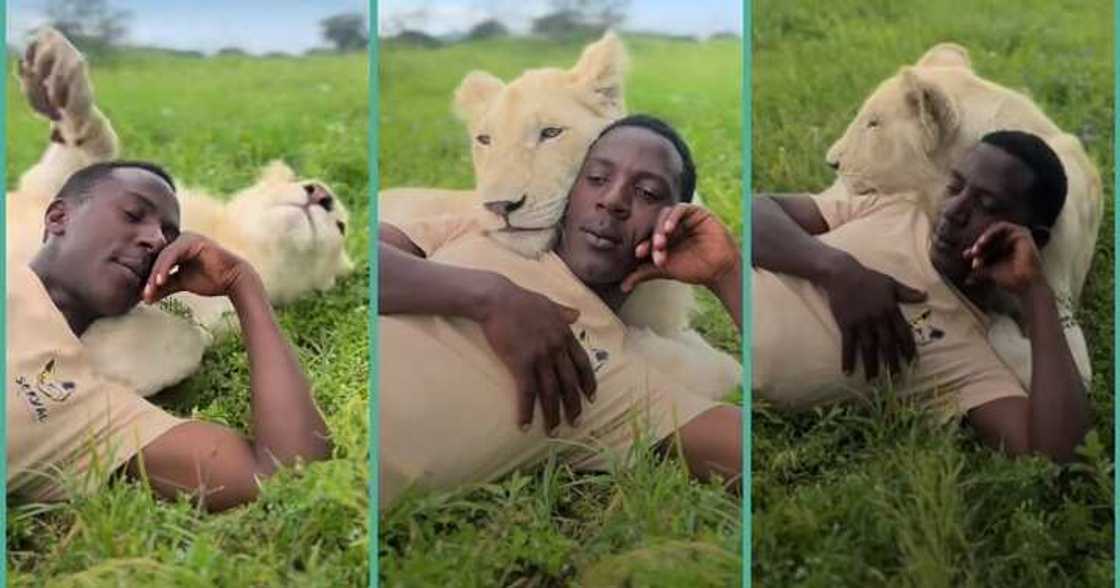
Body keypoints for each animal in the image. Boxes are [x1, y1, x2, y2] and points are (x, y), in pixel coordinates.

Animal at [8, 28, 353, 396]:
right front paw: (54, 76)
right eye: (298, 180)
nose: (321, 194)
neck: (236, 239)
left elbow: (185, 340)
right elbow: (86, 155)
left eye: (341, 226)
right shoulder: (41, 190)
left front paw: (91, 354)